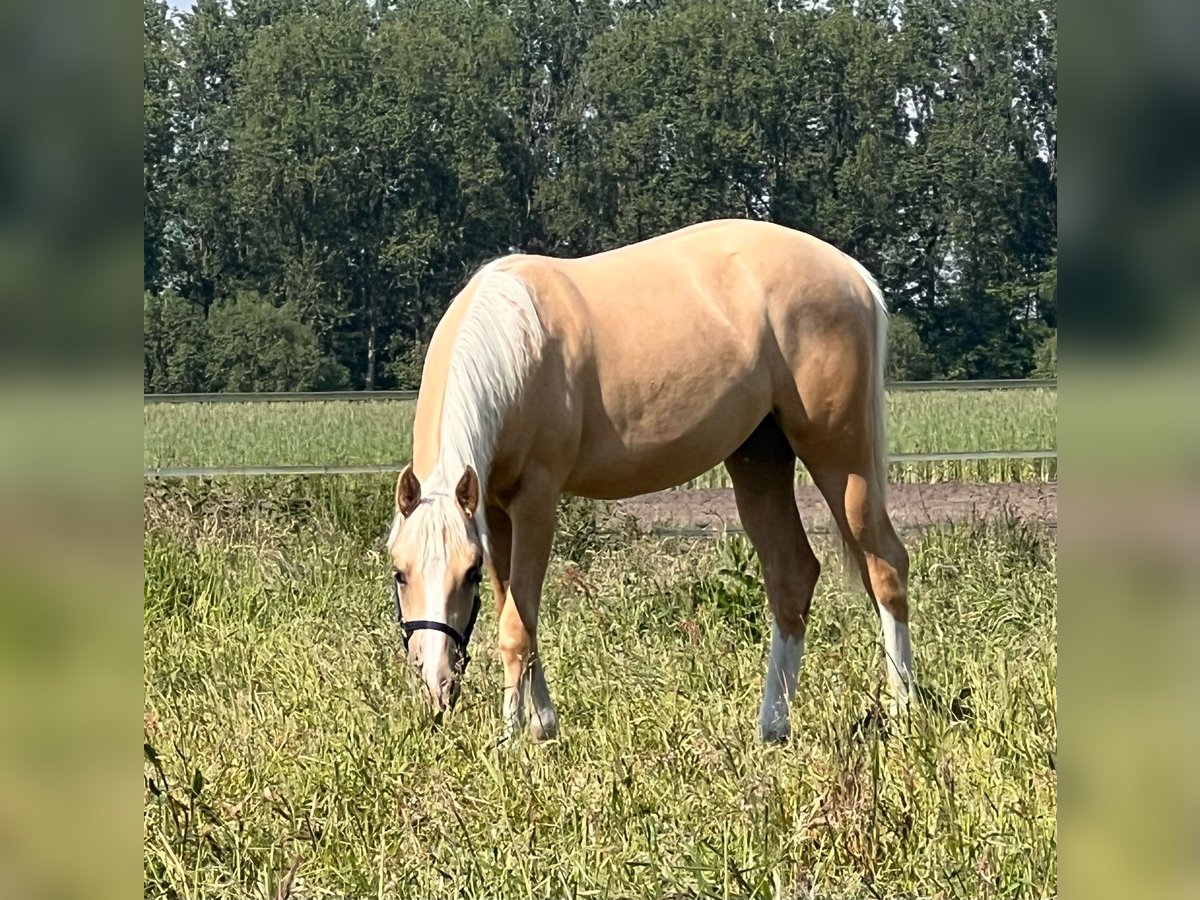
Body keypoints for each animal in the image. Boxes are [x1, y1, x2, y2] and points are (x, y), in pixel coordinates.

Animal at [388, 220, 912, 748]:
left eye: (468, 574)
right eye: (399, 572)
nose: (437, 683)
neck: (517, 342)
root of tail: (853, 274)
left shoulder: (535, 502)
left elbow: (517, 626)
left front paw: (511, 738)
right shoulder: (494, 511)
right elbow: (515, 613)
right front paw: (541, 725)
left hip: (840, 458)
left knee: (886, 567)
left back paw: (903, 708)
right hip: (761, 459)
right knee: (793, 576)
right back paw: (772, 727)